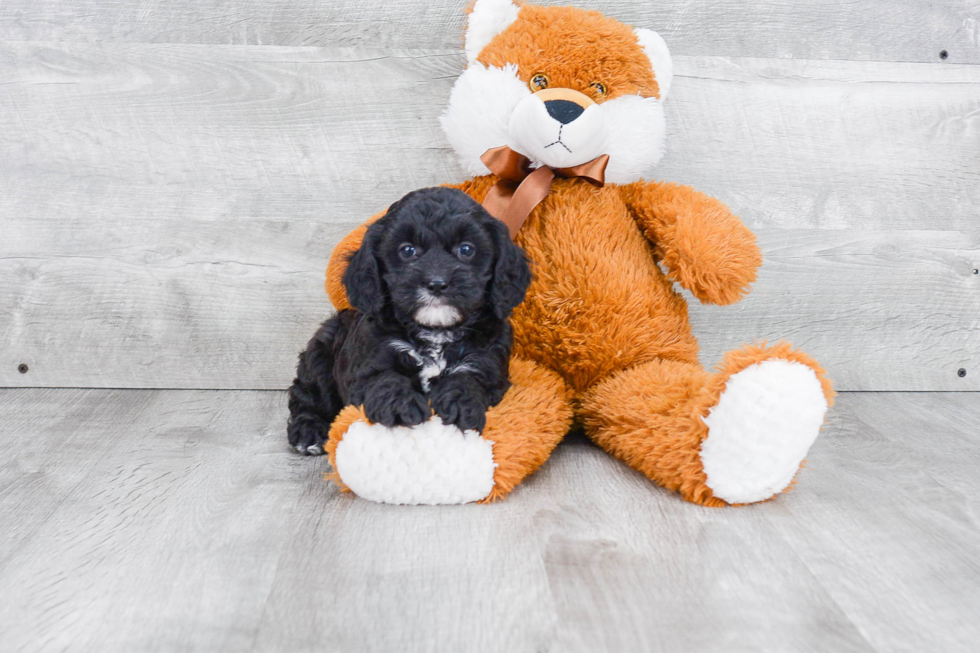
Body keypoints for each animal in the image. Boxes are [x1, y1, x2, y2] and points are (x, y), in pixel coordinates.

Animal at [288, 186, 532, 454]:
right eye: (407, 250)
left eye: (466, 249)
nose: (437, 283)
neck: (435, 332)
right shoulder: (367, 364)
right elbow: (386, 378)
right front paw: (399, 406)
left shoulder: (488, 366)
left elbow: (468, 379)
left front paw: (459, 404)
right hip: (319, 355)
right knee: (309, 397)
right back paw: (308, 432)